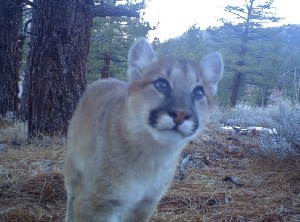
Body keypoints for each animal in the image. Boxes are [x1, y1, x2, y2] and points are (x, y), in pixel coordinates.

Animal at [63, 37, 223, 221]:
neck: (152, 157)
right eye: (161, 84)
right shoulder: (96, 202)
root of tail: (105, 79)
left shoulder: (145, 204)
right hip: (73, 168)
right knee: (71, 196)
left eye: (198, 93)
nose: (180, 114)